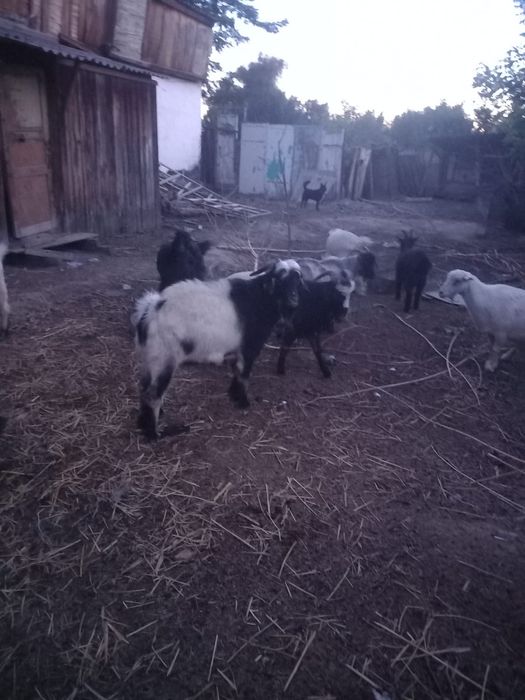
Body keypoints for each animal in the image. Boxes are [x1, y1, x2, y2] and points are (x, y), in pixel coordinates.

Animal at [133, 260, 303, 440]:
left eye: (298, 280)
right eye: (279, 278)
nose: (294, 300)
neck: (261, 298)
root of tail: (150, 311)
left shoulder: (237, 351)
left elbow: (236, 371)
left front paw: (233, 395)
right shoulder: (248, 348)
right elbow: (244, 375)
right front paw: (243, 402)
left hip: (150, 359)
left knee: (144, 387)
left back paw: (144, 422)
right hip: (164, 358)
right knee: (153, 394)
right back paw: (154, 434)